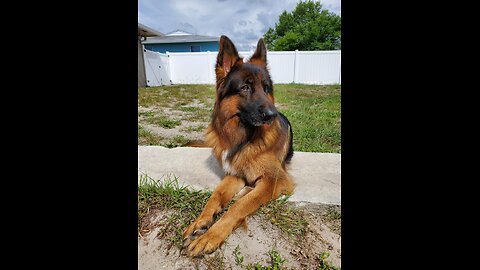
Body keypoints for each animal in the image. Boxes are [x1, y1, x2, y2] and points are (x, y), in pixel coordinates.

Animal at [184, 35, 296, 258]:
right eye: (245, 87)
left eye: (266, 88)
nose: (272, 115)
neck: (243, 139)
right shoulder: (236, 175)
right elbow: (215, 196)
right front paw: (200, 221)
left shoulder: (274, 180)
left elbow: (239, 205)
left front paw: (210, 235)